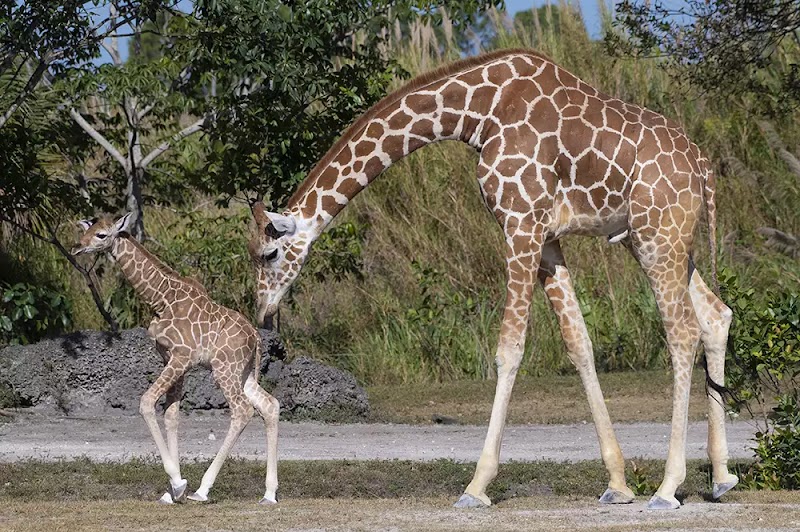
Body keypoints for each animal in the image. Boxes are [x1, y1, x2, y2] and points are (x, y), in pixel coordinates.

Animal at [73, 213, 279, 505]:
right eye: (87, 230)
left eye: (101, 235)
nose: (77, 247)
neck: (159, 298)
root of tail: (257, 339)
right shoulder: (172, 359)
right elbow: (171, 414)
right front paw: (171, 490)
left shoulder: (181, 357)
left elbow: (147, 402)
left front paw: (178, 483)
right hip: (245, 373)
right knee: (269, 405)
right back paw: (269, 494)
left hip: (224, 369)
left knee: (242, 410)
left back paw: (203, 490)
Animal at [248, 49, 739, 510]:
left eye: (268, 254)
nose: (263, 314)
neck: (477, 112)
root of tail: (704, 166)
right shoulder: (545, 236)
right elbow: (578, 342)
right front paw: (617, 483)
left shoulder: (520, 224)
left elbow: (509, 348)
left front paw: (476, 486)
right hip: (658, 239)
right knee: (716, 315)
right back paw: (721, 477)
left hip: (659, 235)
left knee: (682, 332)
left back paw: (669, 487)